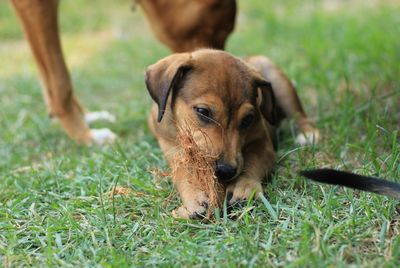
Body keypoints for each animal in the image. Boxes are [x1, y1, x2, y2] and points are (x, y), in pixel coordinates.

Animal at [10, 0, 236, 144]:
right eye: (219, 32)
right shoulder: (33, 4)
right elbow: (60, 80)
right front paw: (85, 136)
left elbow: (49, 78)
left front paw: (85, 118)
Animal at [145, 49, 320, 219]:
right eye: (202, 111)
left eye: (248, 119)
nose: (226, 171)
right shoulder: (172, 148)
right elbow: (184, 171)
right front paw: (195, 198)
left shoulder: (262, 143)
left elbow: (253, 161)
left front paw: (245, 186)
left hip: (277, 79)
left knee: (298, 114)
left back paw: (308, 134)